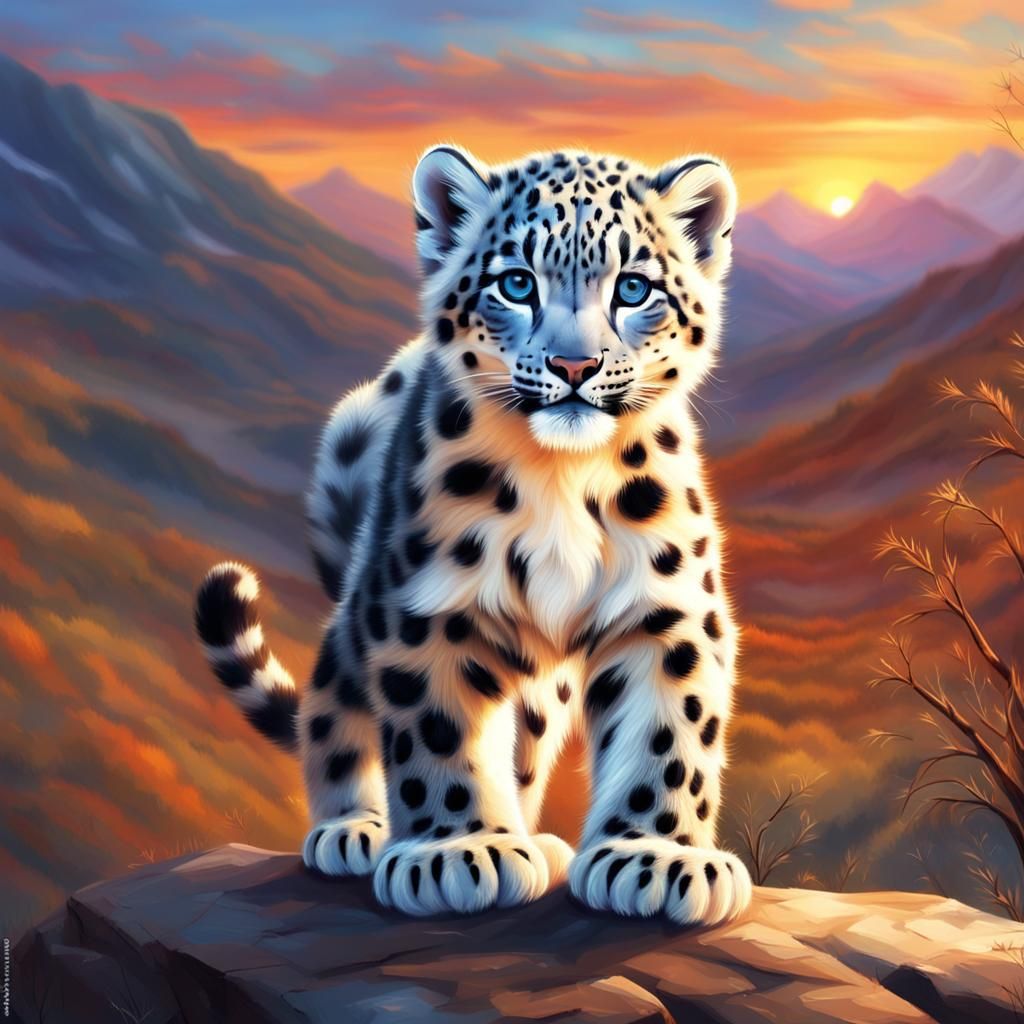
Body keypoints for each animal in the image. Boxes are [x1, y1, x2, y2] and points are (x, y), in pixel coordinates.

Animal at [195, 144, 752, 926]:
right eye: (516, 283)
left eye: (634, 287)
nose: (574, 366)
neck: (560, 476)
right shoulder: (427, 606)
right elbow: (438, 728)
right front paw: (457, 852)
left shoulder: (668, 605)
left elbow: (669, 731)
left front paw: (655, 857)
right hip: (363, 616)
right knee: (333, 712)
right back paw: (353, 830)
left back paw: (537, 841)